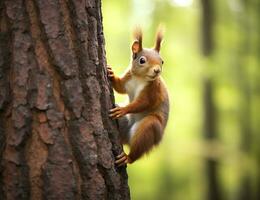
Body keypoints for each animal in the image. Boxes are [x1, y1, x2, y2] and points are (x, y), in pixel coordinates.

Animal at [107, 27, 170, 166]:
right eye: (142, 60)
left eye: (162, 61)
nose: (157, 70)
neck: (140, 78)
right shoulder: (128, 79)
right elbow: (120, 87)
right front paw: (111, 74)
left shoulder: (152, 91)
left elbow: (142, 103)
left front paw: (123, 109)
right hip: (125, 125)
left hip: (149, 128)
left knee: (137, 150)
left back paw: (128, 157)